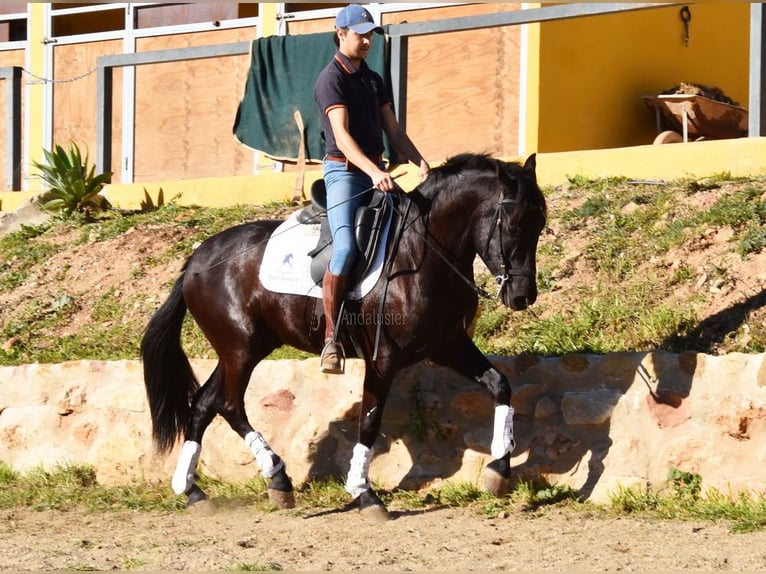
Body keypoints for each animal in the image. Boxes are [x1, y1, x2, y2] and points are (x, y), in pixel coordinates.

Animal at [142, 153, 544, 520]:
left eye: (539, 225)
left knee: (204, 405)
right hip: (240, 349)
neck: (422, 255)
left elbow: (500, 385)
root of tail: (196, 259)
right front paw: (364, 493)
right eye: (512, 225)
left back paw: (193, 491)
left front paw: (499, 470)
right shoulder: (383, 359)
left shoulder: (448, 346)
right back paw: (277, 479)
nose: (522, 297)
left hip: (242, 349)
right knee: (228, 405)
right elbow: (369, 419)